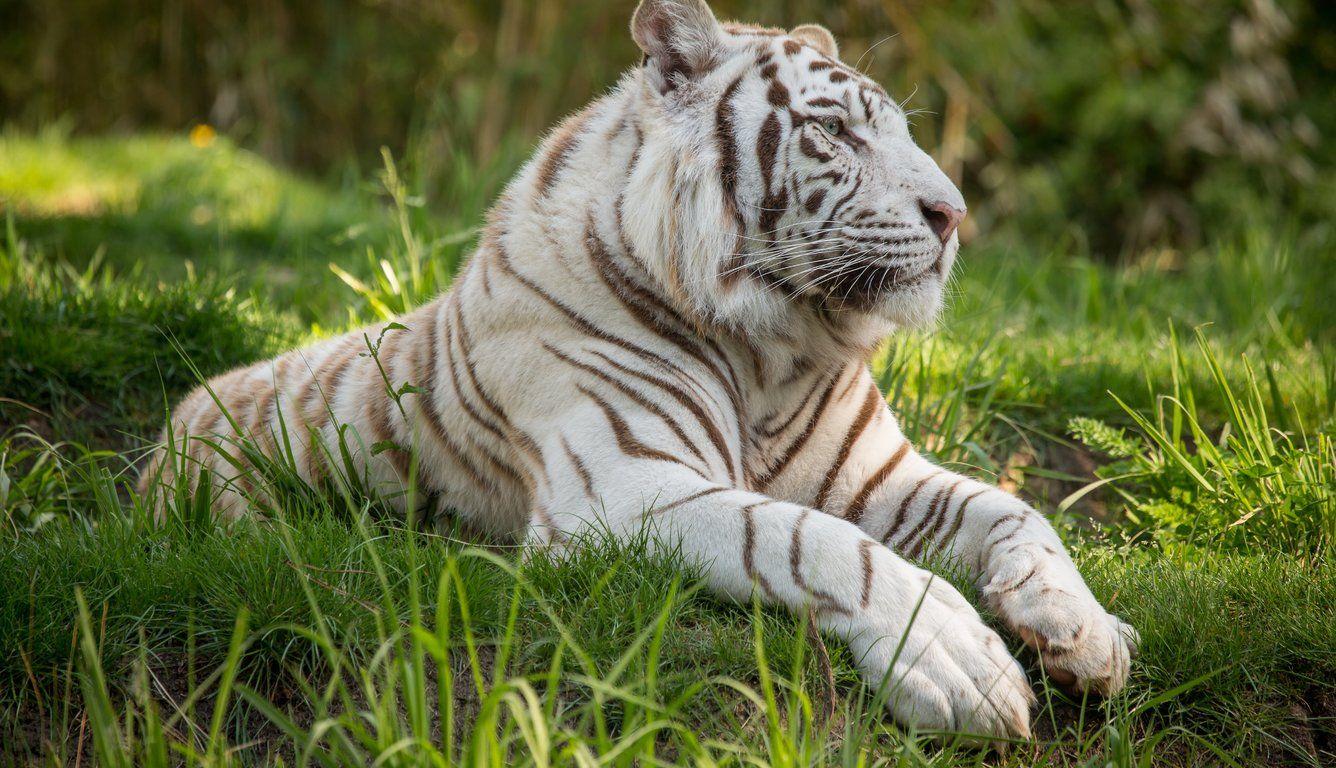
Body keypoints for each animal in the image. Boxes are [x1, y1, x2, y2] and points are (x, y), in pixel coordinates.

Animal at [143, 0, 1138, 740]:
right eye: (833, 133)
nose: (954, 214)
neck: (775, 347)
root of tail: (166, 425)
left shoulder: (875, 477)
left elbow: (1013, 510)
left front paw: (1085, 631)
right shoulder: (620, 489)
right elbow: (807, 540)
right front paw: (958, 663)